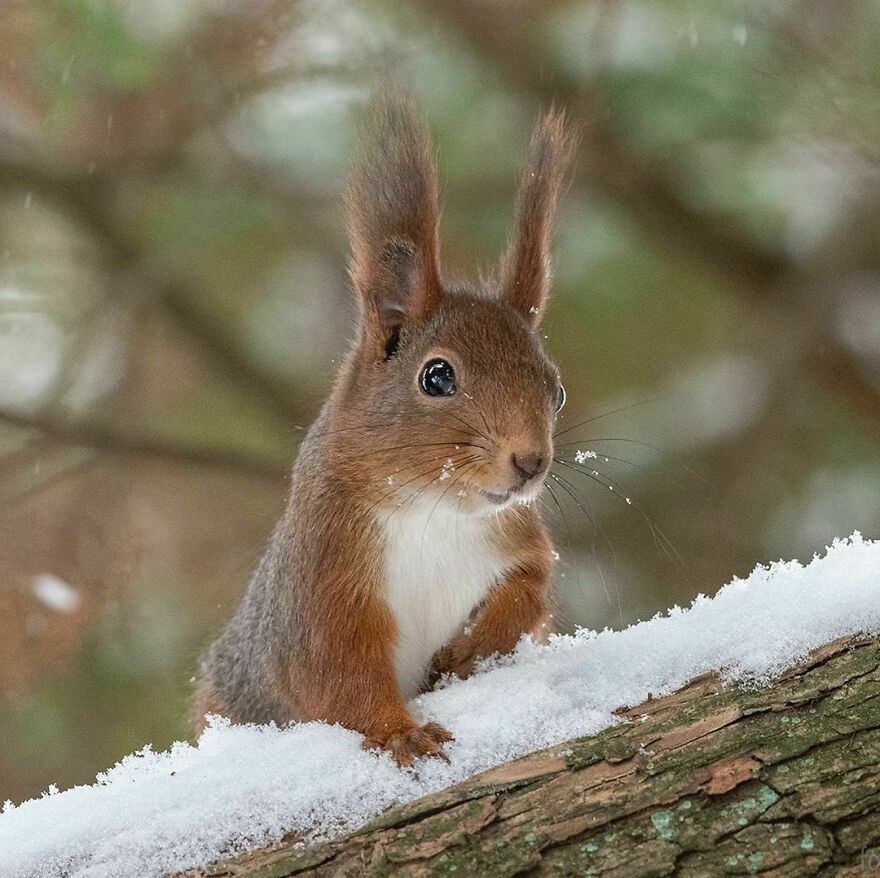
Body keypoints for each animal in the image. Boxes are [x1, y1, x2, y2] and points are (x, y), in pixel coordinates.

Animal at [192, 94, 574, 766]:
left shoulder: (518, 539)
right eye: (438, 376)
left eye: (556, 390)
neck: (436, 511)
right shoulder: (325, 584)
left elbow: (529, 594)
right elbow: (340, 679)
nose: (531, 463)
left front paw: (471, 651)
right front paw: (402, 732)